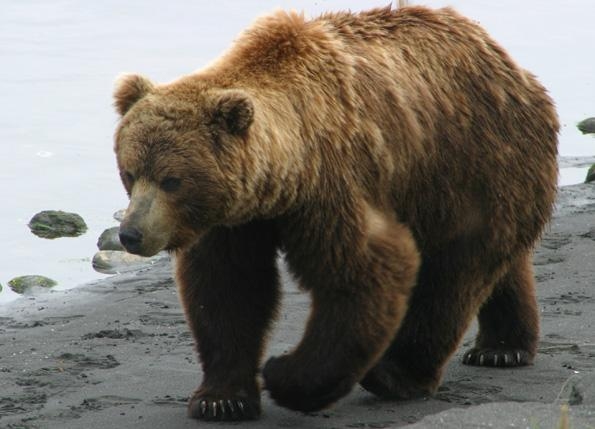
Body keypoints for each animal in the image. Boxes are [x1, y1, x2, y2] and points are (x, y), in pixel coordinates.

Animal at [112, 5, 560, 422]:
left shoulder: (332, 186)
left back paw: (398, 374)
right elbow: (228, 289)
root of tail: (510, 65)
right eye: (130, 172)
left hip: (469, 164)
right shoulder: (236, 219)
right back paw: (503, 347)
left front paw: (283, 375)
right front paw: (222, 399)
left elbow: (364, 272)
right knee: (499, 264)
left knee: (454, 274)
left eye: (172, 180)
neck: (282, 182)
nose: (130, 233)